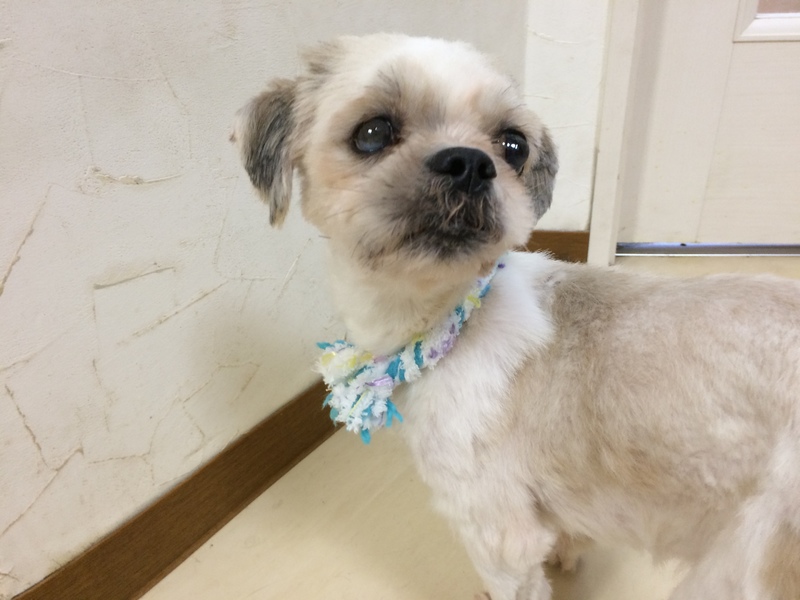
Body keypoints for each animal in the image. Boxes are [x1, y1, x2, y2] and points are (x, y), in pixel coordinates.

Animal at [232, 34, 800, 600]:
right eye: (372, 133)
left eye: (512, 146)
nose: (470, 162)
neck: (450, 323)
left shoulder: (494, 526)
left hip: (738, 565)